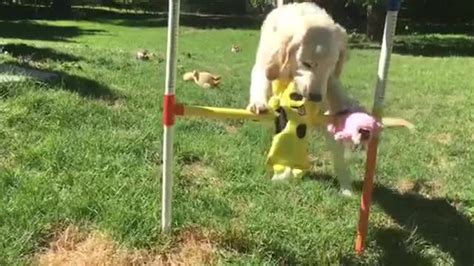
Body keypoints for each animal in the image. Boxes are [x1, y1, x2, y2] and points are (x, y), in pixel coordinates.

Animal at [248, 2, 356, 195]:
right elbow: (261, 78)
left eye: (331, 65)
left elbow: (334, 87)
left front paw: (344, 106)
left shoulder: (330, 79)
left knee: (339, 158)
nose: (316, 97)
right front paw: (258, 103)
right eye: (307, 64)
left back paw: (346, 190)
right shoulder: (265, 62)